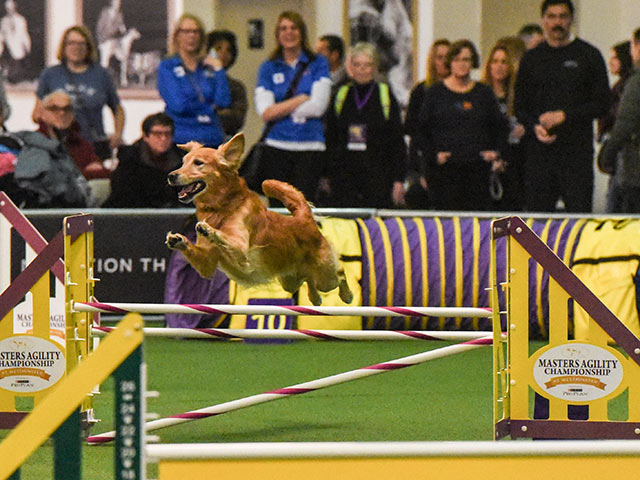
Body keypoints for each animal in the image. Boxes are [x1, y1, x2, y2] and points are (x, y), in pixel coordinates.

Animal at [165, 131, 352, 306]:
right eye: (183, 162)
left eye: (198, 163)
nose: (171, 175)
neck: (222, 206)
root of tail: (303, 218)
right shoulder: (207, 265)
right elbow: (199, 255)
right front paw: (177, 240)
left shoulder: (241, 250)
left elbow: (224, 236)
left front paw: (208, 229)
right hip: (289, 281)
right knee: (308, 279)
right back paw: (315, 298)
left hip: (325, 276)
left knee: (340, 273)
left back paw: (347, 295)